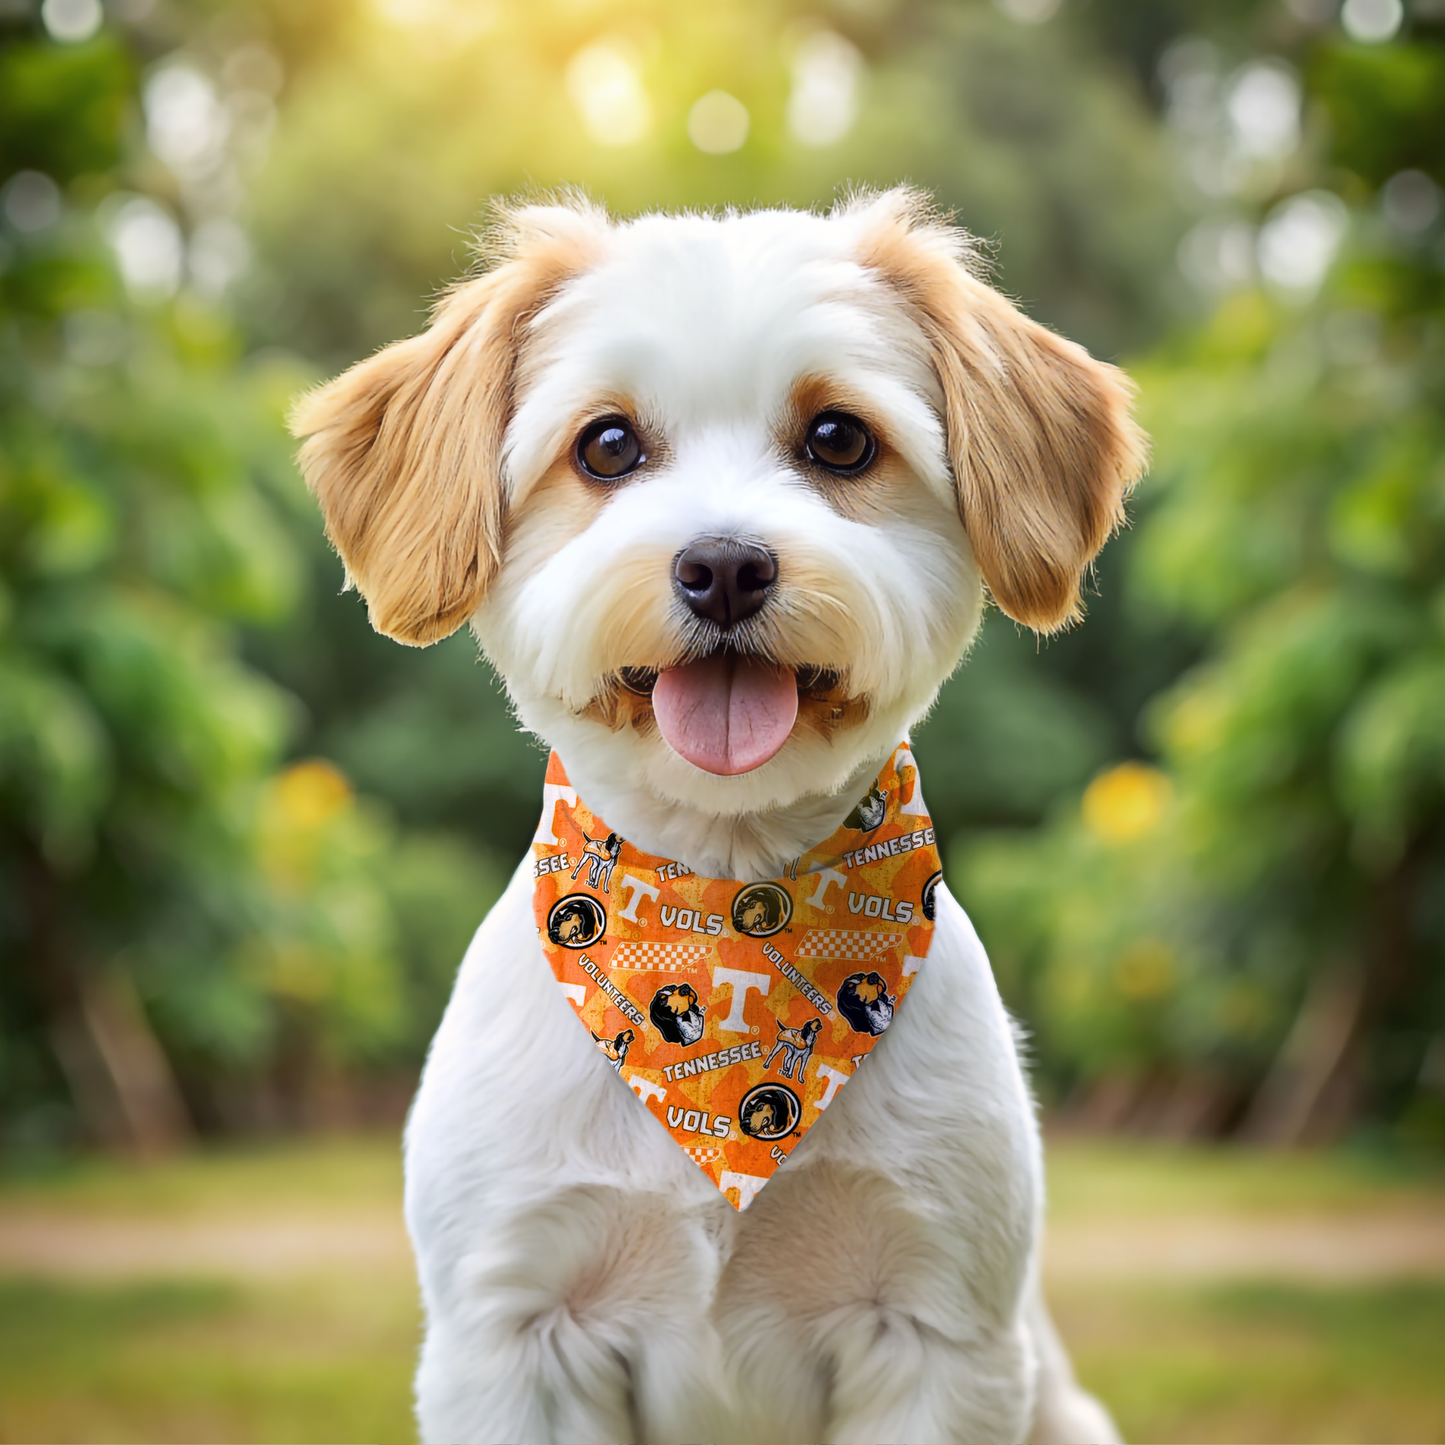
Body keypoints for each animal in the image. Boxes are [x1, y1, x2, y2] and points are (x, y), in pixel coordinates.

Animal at [293, 192, 1144, 1445]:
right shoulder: (514, 1328)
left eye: (838, 438)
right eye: (606, 445)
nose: (725, 565)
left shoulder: (936, 1326)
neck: (728, 896)